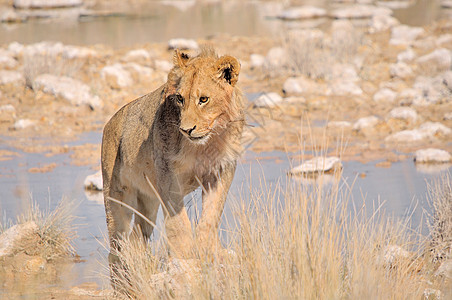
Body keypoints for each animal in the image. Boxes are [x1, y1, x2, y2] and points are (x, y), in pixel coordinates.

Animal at [101, 47, 245, 260]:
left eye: (203, 99)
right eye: (180, 98)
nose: (186, 130)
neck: (206, 145)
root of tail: (110, 123)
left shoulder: (221, 171)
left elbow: (211, 215)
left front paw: (210, 251)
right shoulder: (167, 174)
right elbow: (178, 222)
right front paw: (184, 256)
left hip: (148, 200)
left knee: (137, 237)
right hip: (115, 197)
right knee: (117, 244)